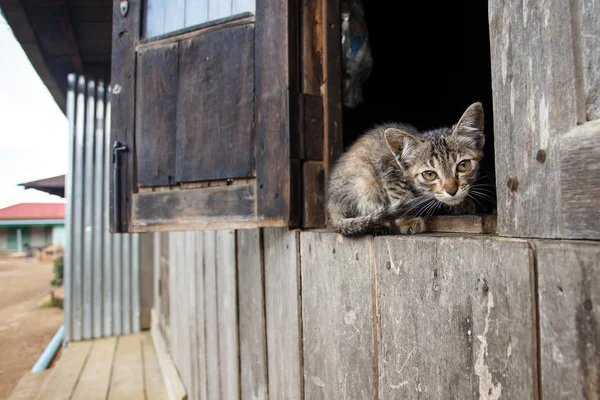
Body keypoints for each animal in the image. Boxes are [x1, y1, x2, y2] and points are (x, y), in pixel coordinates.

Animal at [326, 101, 486, 236]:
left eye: (463, 165)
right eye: (429, 174)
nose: (452, 191)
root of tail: (331, 204)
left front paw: (462, 204)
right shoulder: (387, 166)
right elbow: (400, 192)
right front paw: (409, 219)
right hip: (365, 181)